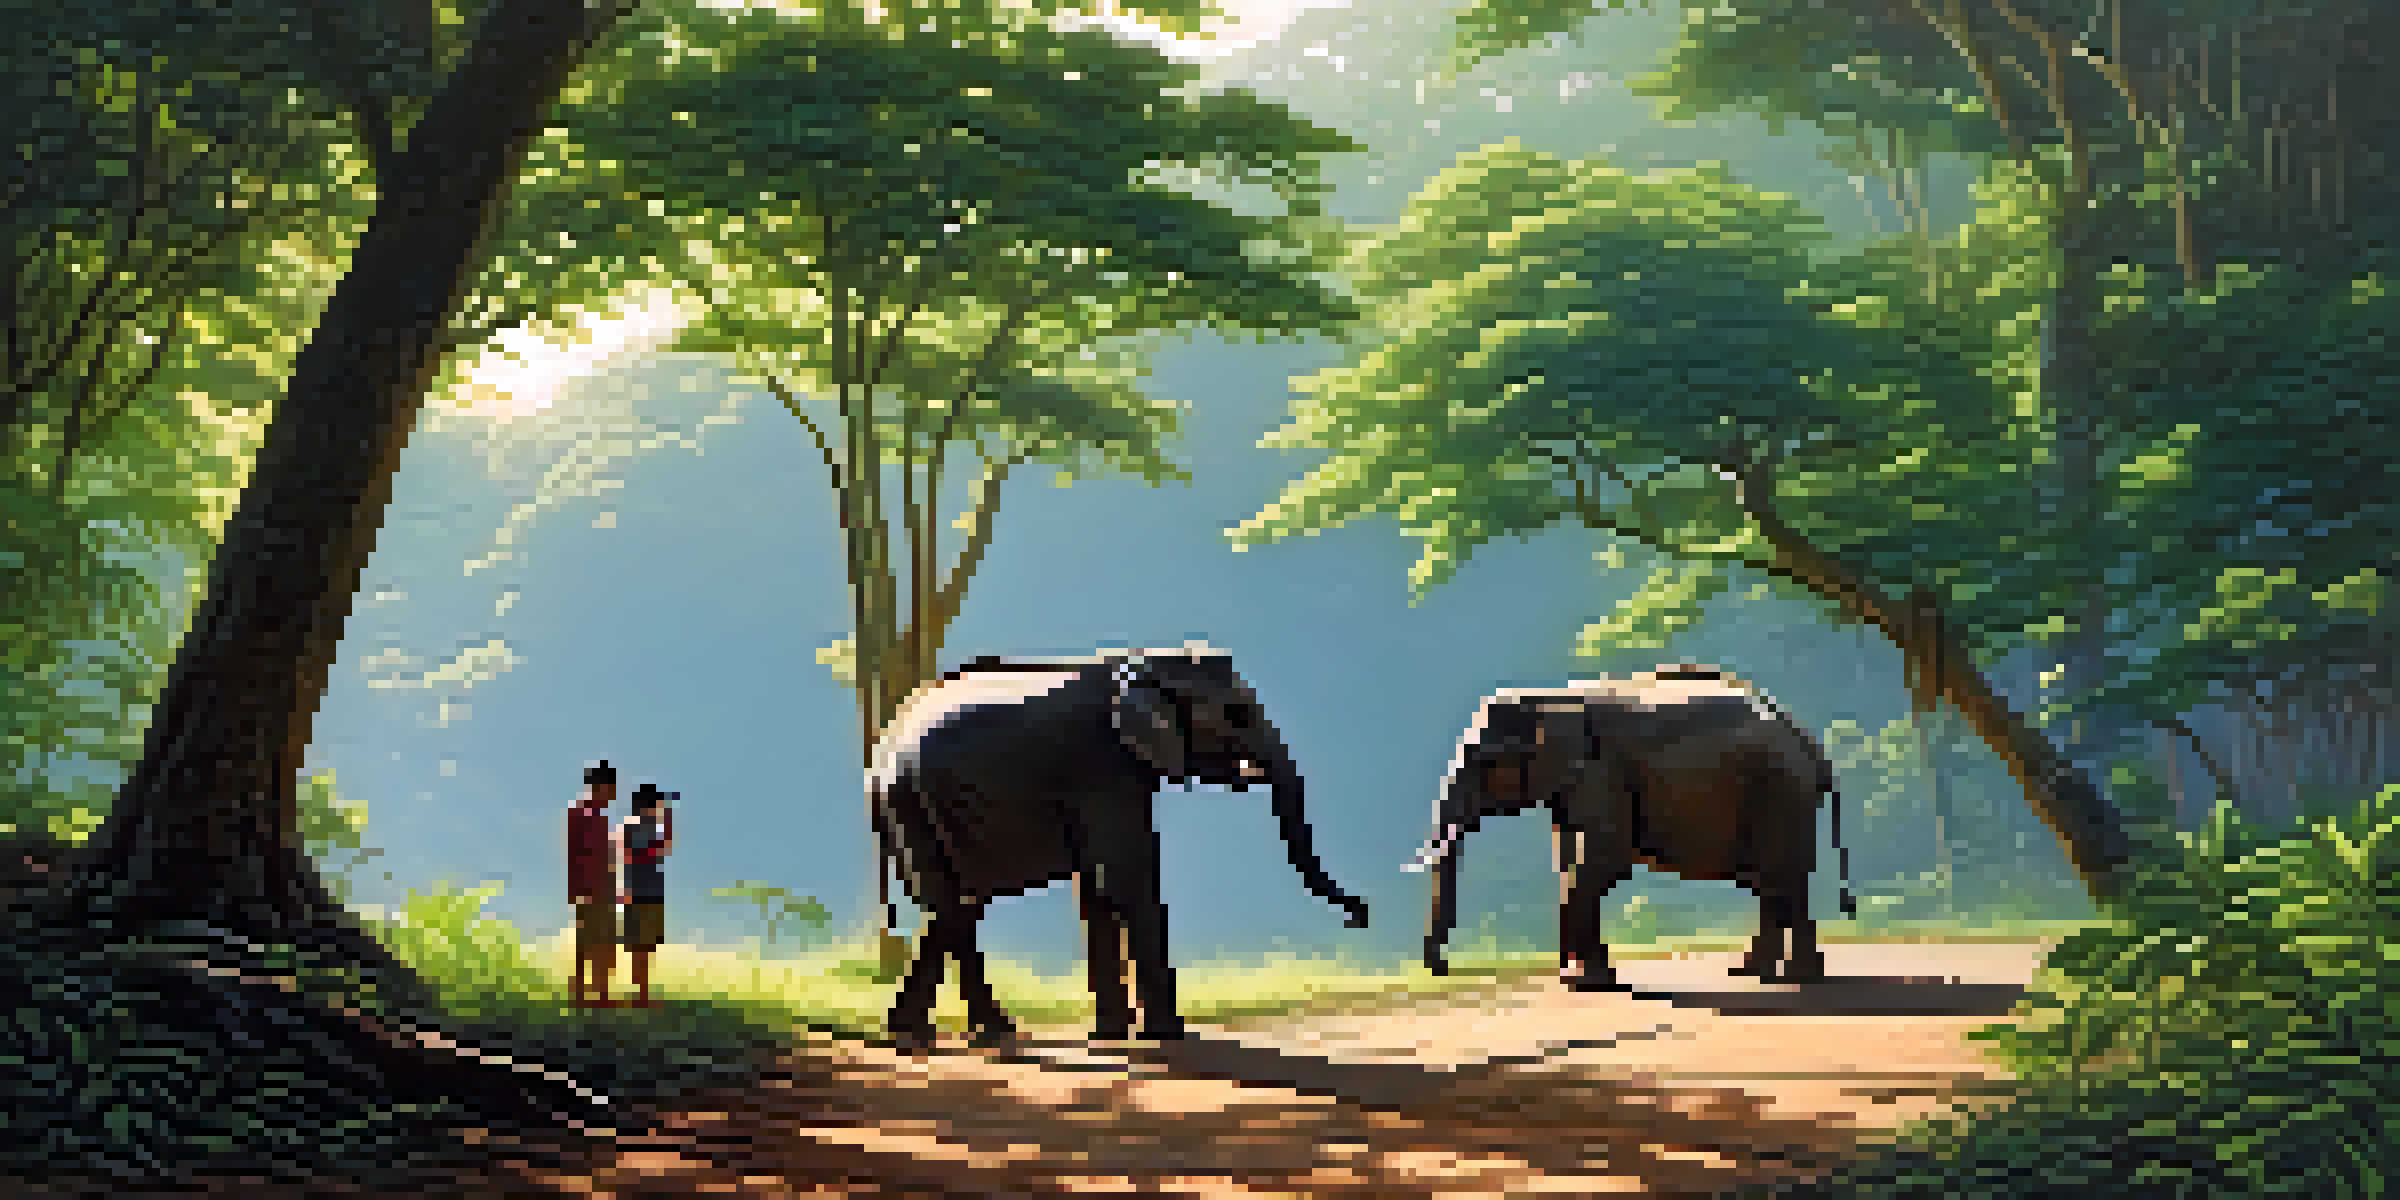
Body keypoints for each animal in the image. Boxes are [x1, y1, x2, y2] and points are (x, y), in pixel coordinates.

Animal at [868, 643, 1370, 1046]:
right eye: (1236, 716)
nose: (1360, 916)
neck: (1146, 659)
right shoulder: (1103, 766)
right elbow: (1127, 876)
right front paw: (1170, 1035)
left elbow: (1097, 885)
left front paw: (1112, 1035)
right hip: (913, 804)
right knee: (955, 905)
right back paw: (995, 1034)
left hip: (922, 809)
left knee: (954, 904)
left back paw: (912, 1035)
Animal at [1407, 664, 1854, 991]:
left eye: (1486, 761)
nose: (1444, 968)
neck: (1551, 697)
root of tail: (1806, 737)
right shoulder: (1574, 783)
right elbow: (1571, 862)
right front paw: (1590, 978)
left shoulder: (1602, 771)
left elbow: (1604, 860)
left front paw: (1582, 982)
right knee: (1774, 880)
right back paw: (1757, 974)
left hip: (1778, 791)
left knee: (1782, 874)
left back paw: (1790, 978)